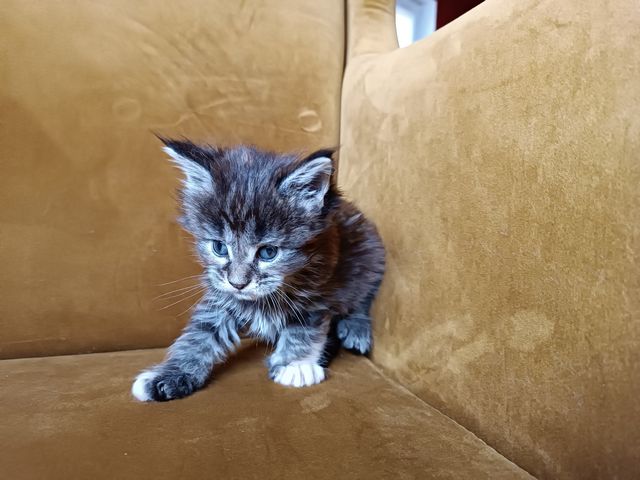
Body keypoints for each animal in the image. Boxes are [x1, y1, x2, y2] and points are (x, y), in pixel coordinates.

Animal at [132, 138, 385, 401]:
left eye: (268, 252)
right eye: (219, 247)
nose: (238, 283)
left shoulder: (318, 294)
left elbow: (303, 330)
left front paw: (295, 365)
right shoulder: (220, 295)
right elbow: (201, 333)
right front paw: (172, 373)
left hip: (369, 257)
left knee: (361, 298)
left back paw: (355, 328)